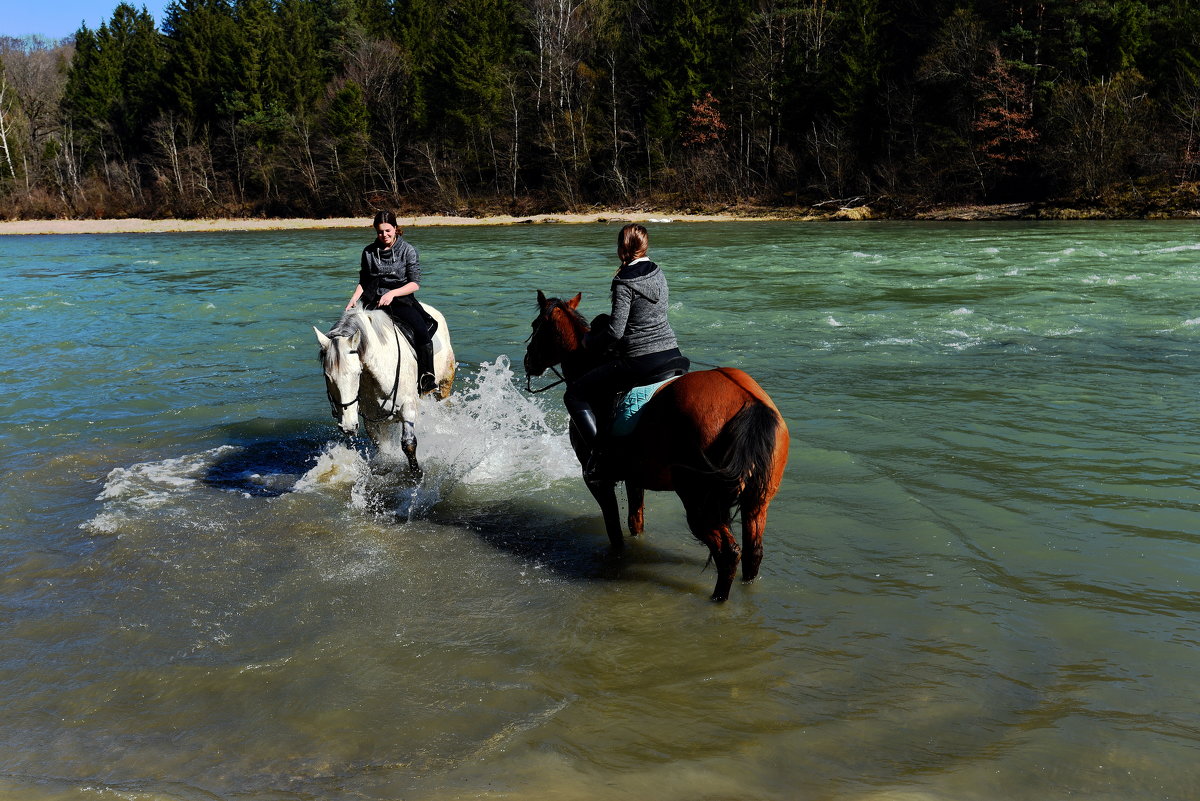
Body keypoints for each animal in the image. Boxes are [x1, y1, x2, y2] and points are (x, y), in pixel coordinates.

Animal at [314, 303, 453, 472]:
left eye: (357, 372)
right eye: (327, 376)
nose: (348, 427)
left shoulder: (408, 407)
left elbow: (409, 444)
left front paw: (417, 473)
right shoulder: (372, 419)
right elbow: (383, 450)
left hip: (444, 385)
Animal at [523, 288, 787, 599]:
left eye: (535, 326)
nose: (528, 362)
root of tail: (749, 401)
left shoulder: (599, 481)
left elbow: (615, 530)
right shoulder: (634, 477)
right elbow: (635, 522)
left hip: (698, 500)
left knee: (728, 553)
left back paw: (717, 599)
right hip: (757, 501)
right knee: (752, 553)